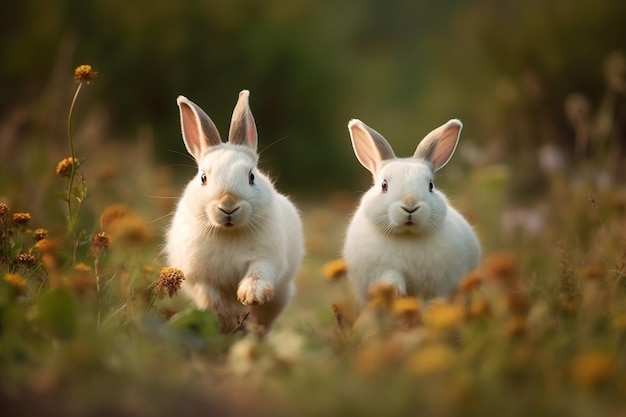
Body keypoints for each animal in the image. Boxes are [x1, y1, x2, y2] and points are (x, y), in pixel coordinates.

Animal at [165, 89, 304, 334]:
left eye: (251, 176)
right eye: (203, 178)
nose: (228, 205)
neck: (228, 232)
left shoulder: (266, 258)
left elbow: (258, 273)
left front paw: (251, 295)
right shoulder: (200, 278)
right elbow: (211, 298)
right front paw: (225, 318)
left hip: (280, 297)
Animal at [342, 117, 478, 306]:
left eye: (430, 185)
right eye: (384, 185)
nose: (410, 205)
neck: (407, 234)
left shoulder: (436, 279)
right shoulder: (384, 268)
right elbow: (391, 278)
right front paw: (394, 292)